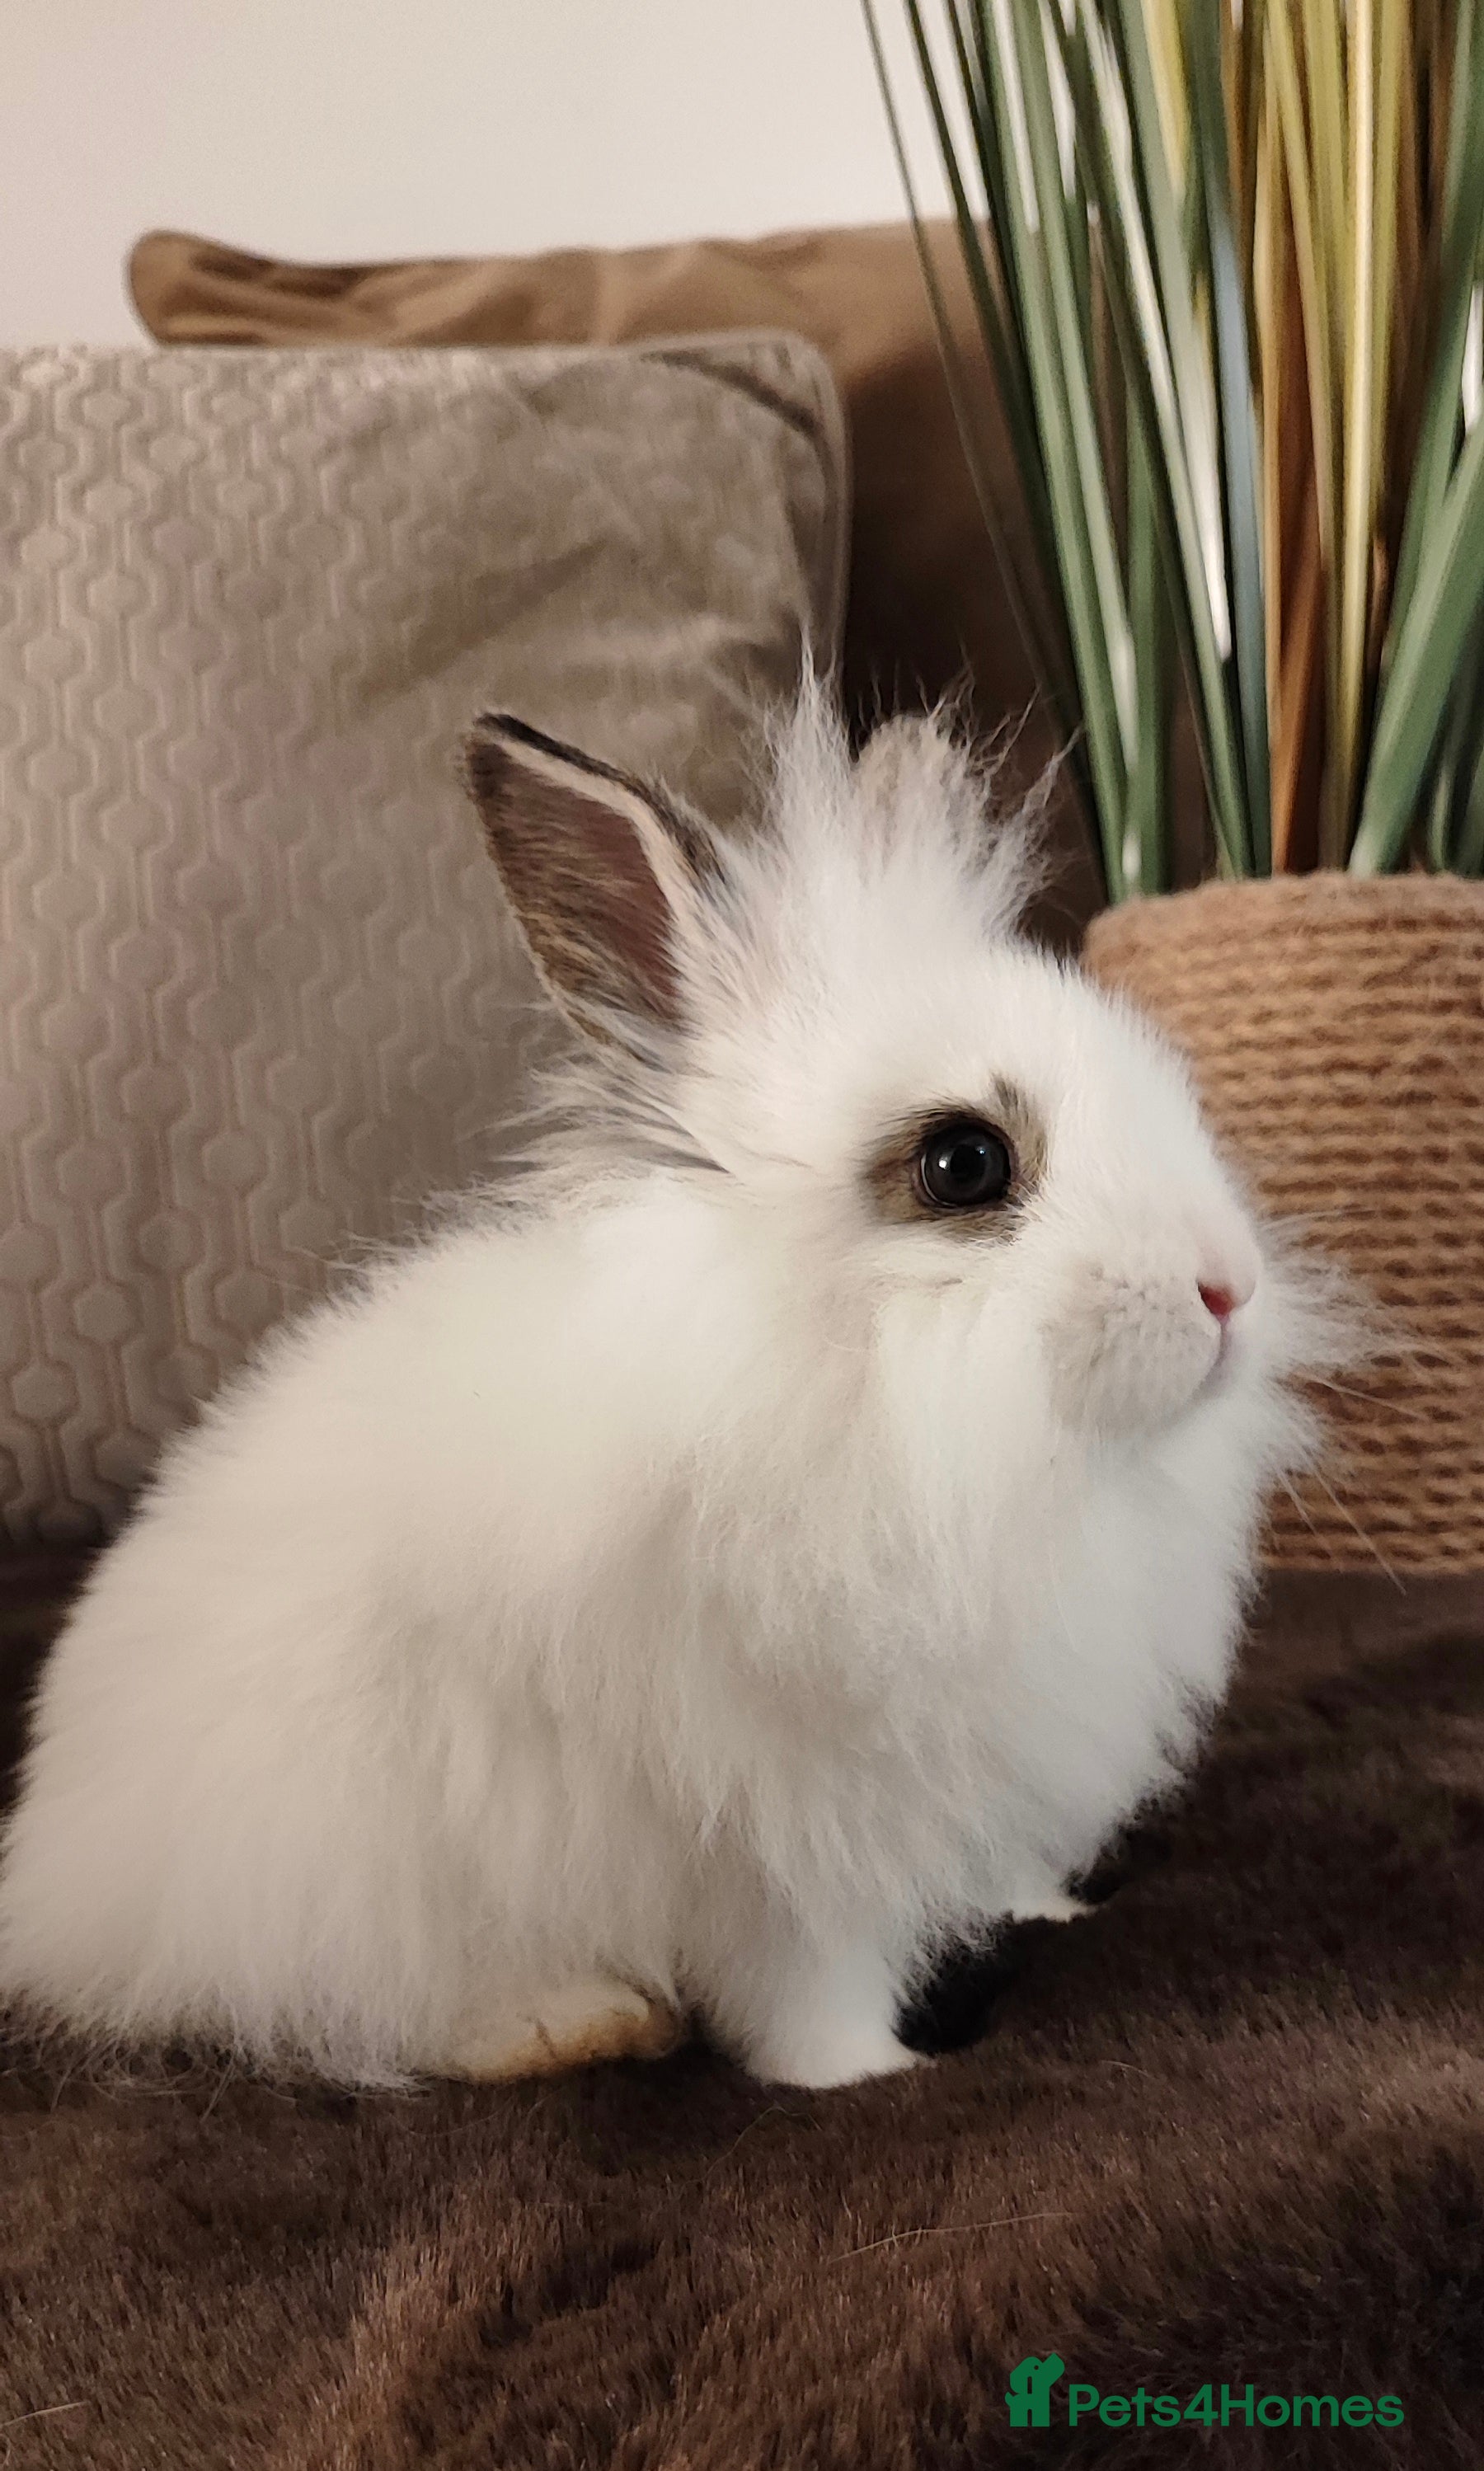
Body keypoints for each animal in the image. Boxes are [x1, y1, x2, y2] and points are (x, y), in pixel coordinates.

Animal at [0, 683, 1347, 2091]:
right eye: (965, 1162)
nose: (1228, 1290)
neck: (875, 1396)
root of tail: (54, 1885)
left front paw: (1049, 1907)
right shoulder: (783, 1828)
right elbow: (807, 1984)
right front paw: (869, 2078)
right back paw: (576, 2022)